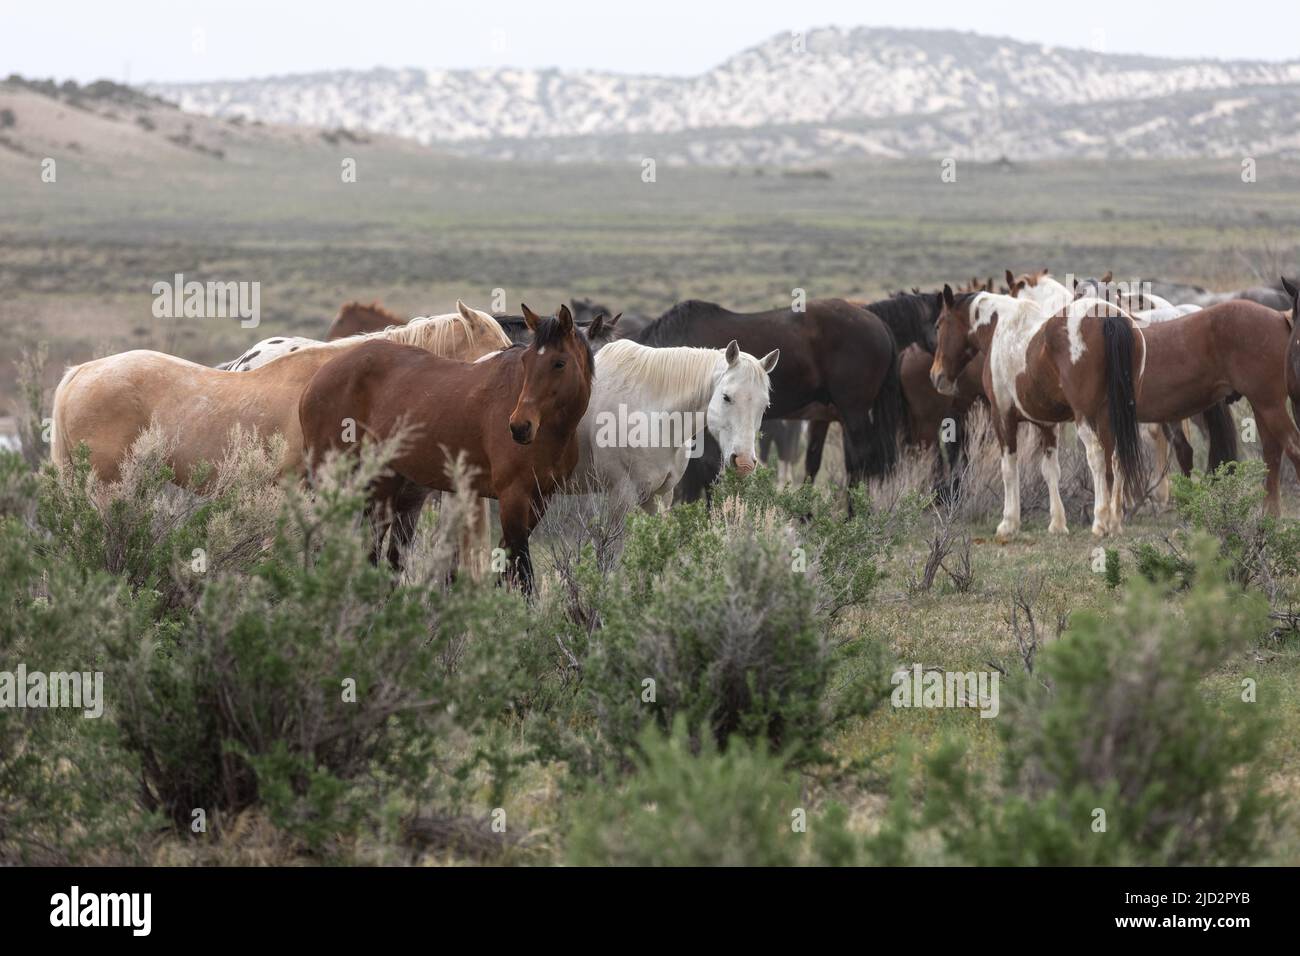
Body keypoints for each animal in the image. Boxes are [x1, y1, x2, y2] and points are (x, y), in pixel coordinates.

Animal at [298, 305, 595, 592]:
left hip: (383, 483)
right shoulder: (514, 497)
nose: (520, 426)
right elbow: (523, 572)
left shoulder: (540, 499)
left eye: (559, 363)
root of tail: (316, 379)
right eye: (526, 361)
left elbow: (506, 565)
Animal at [931, 285, 1147, 540]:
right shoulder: (1047, 424)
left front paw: (1009, 522)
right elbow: (1050, 470)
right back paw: (1114, 522)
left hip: (1086, 417)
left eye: (939, 325)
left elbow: (1008, 468)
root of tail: (1108, 317)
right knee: (1115, 458)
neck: (999, 327)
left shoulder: (1002, 416)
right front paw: (1057, 523)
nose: (936, 376)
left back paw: (1100, 521)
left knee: (1096, 456)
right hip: (1110, 417)